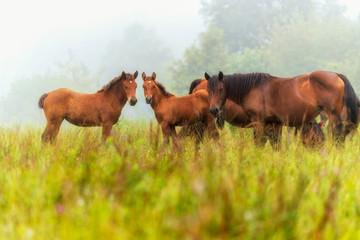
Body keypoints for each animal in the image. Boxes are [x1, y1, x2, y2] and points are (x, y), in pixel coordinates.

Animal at [204, 70, 358, 147]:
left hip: (333, 116)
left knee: (338, 135)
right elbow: (275, 144)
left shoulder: (258, 121)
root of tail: (336, 75)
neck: (253, 88)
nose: (213, 110)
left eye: (221, 89)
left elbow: (259, 143)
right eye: (208, 90)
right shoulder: (273, 123)